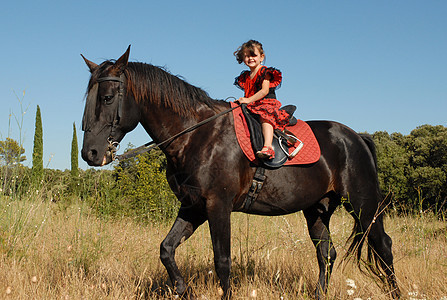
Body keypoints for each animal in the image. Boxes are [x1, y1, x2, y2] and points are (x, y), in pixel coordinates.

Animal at [81, 45, 402, 298]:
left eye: (107, 97)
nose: (89, 154)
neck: (196, 135)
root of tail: (357, 137)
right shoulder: (193, 206)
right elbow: (166, 249)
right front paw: (182, 290)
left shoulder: (218, 205)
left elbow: (222, 261)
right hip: (317, 209)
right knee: (327, 253)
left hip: (363, 205)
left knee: (383, 246)